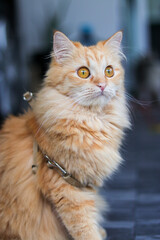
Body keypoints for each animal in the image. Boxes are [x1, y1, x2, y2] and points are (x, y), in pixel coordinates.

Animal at [0, 31, 130, 239]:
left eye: (109, 71)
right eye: (83, 73)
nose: (102, 85)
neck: (91, 121)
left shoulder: (84, 183)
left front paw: (100, 230)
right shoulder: (67, 188)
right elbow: (85, 228)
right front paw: (96, 234)